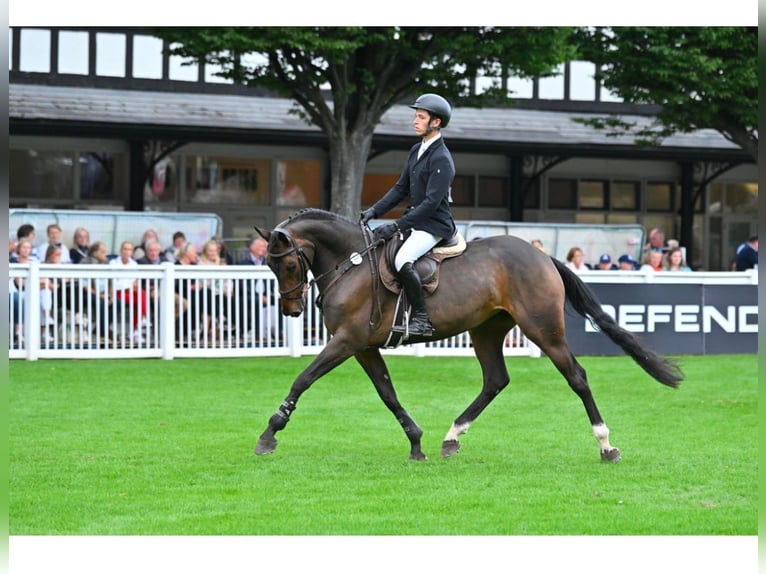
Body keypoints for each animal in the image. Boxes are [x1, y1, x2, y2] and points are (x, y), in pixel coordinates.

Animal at [254, 209, 684, 466]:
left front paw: (270, 433)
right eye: (272, 266)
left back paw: (605, 445)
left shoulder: (346, 341)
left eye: (288, 264)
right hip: (487, 330)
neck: (353, 263)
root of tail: (541, 255)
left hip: (543, 328)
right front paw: (416, 442)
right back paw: (451, 436)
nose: (291, 310)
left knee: (576, 377)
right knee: (495, 380)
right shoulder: (363, 347)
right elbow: (387, 393)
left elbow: (303, 379)